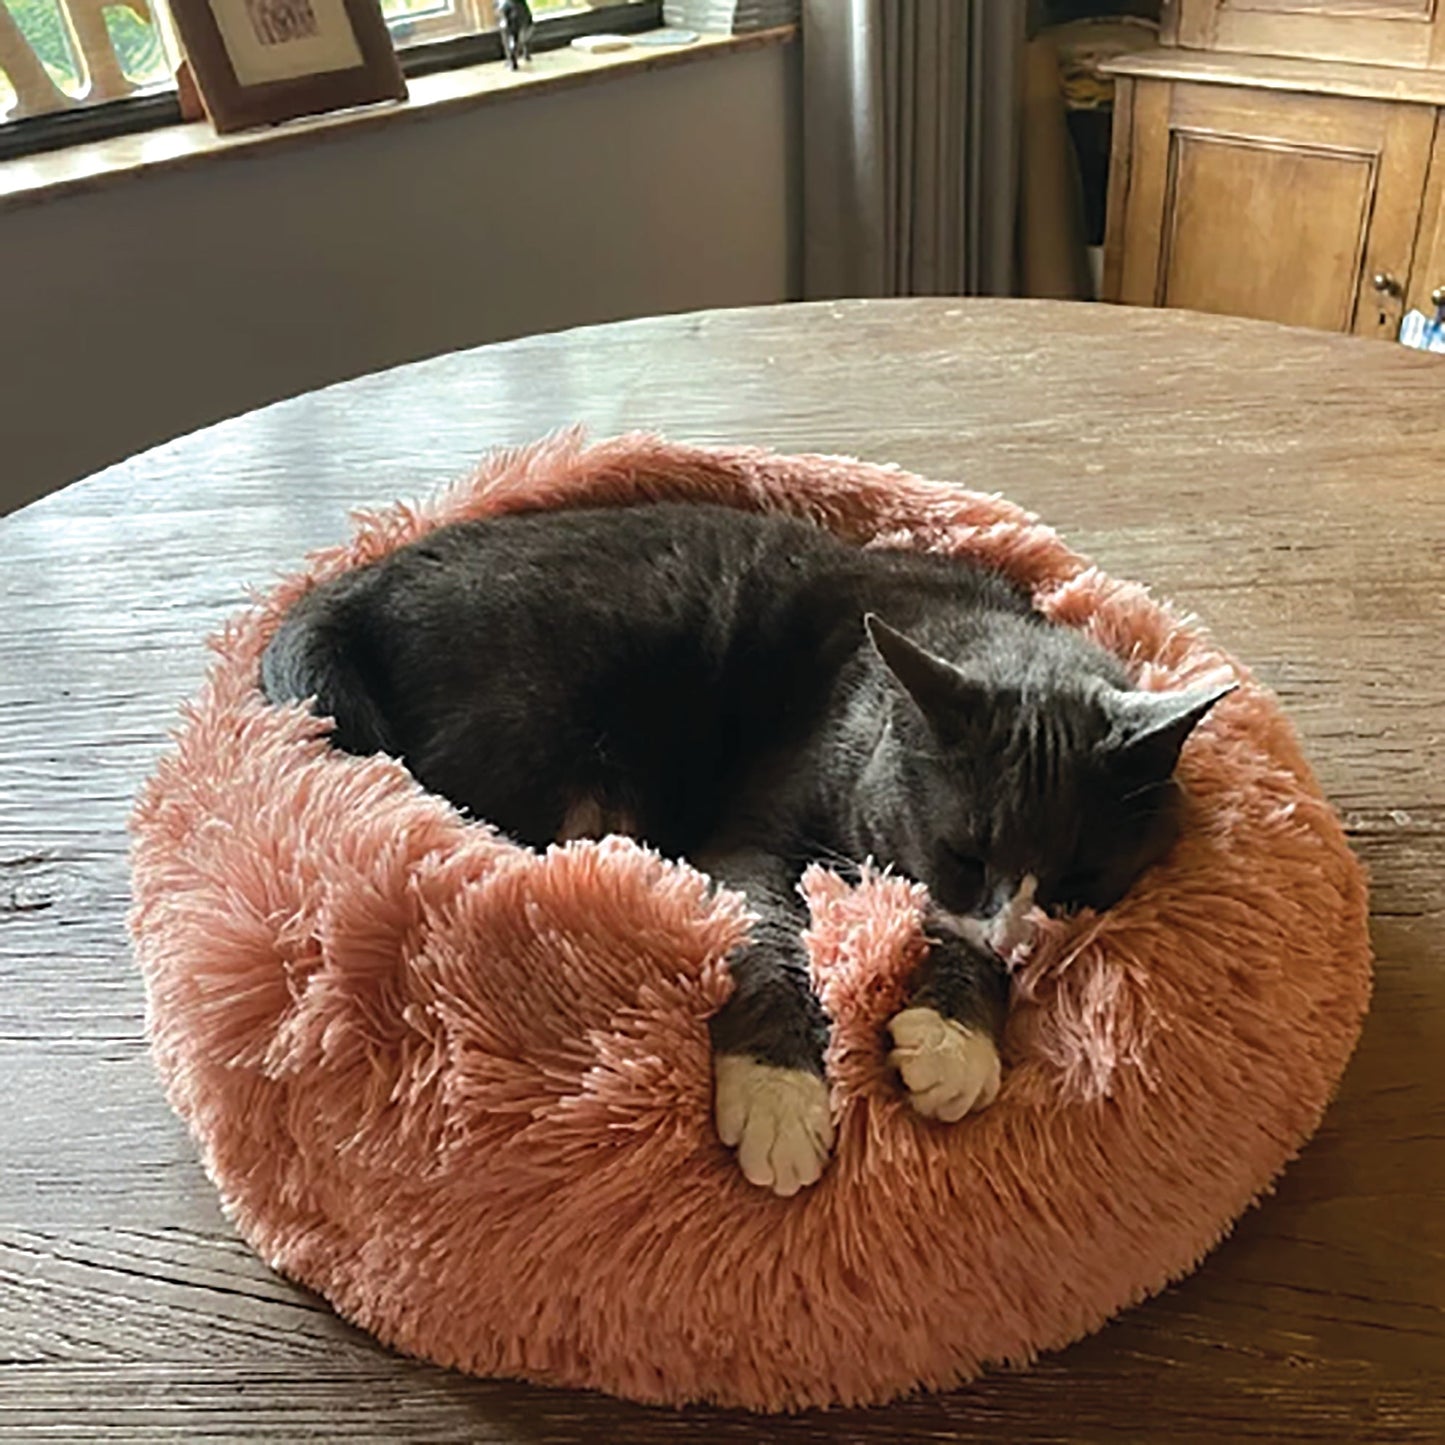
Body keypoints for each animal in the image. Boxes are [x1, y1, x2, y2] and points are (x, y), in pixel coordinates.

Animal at [262, 502, 1231, 1190]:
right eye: (963, 853)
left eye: (1079, 878)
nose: (1016, 937)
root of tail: (352, 588)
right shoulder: (757, 832)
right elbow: (767, 930)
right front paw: (779, 1099)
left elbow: (964, 937)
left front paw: (952, 1041)